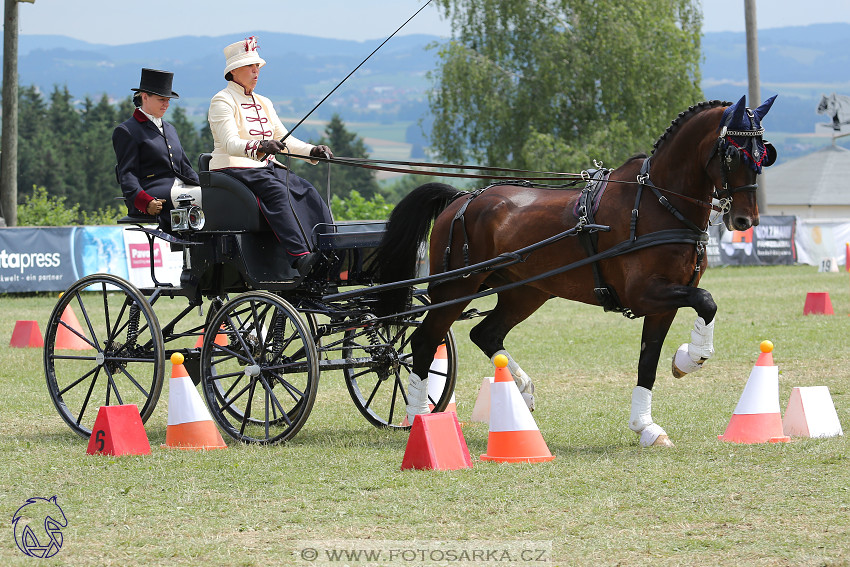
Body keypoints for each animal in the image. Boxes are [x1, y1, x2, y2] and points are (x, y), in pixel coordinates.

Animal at [372, 95, 776, 446]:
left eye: (763, 154)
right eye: (732, 154)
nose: (746, 220)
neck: (658, 203)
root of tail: (461, 199)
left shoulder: (664, 302)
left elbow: (649, 361)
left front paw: (648, 423)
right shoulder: (645, 294)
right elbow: (707, 301)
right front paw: (691, 359)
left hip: (525, 292)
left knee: (485, 334)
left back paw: (522, 391)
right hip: (456, 288)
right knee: (425, 342)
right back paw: (420, 417)